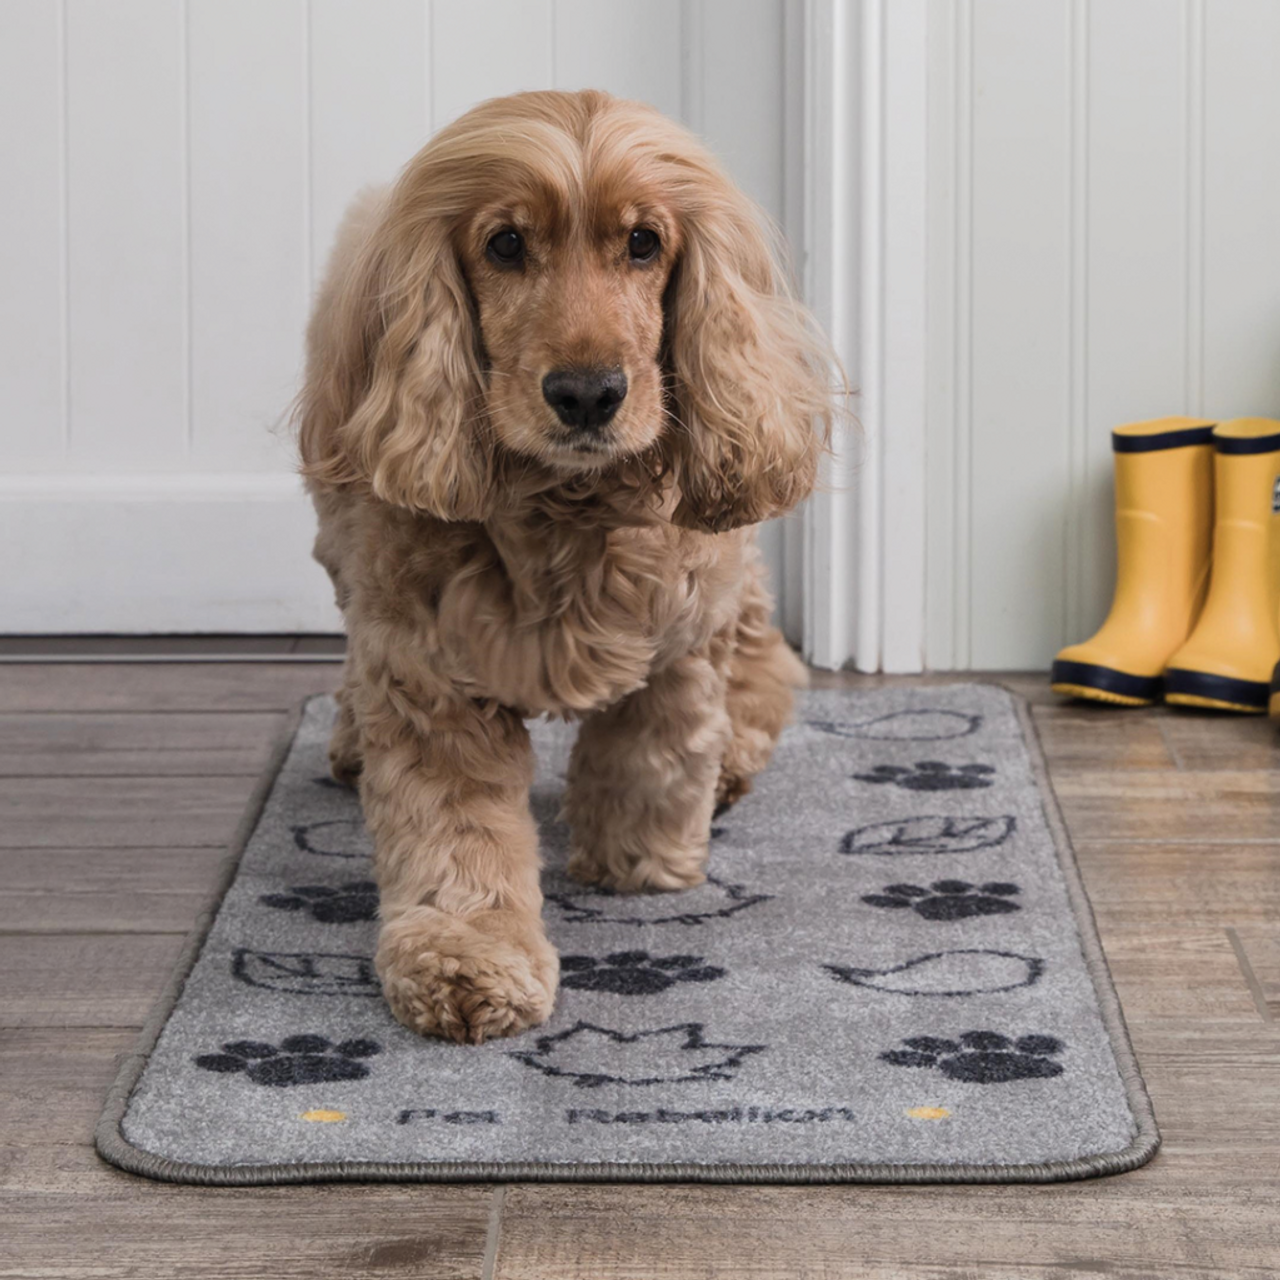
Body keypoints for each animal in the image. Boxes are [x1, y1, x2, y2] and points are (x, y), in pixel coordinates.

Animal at [299, 92, 839, 1049]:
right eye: (506, 243)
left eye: (644, 243)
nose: (587, 394)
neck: (565, 509)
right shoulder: (427, 673)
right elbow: (455, 833)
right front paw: (468, 962)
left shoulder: (684, 628)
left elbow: (654, 746)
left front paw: (640, 859)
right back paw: (352, 747)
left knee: (769, 656)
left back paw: (734, 762)